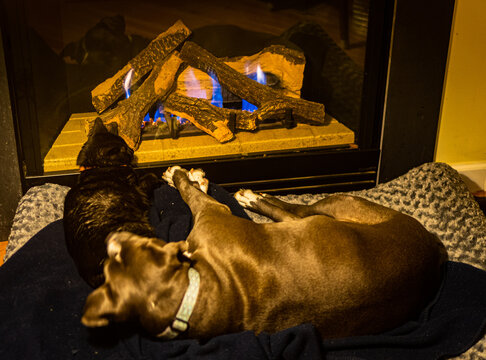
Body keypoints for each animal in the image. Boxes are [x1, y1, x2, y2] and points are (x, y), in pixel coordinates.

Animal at [63, 118, 159, 286]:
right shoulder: (138, 191)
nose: (132, 150)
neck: (97, 167)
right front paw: (157, 178)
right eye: (125, 149)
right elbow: (149, 178)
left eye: (127, 145)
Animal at [80, 167, 448, 338]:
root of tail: (433, 248)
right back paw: (254, 198)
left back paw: (254, 198)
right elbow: (197, 193)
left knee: (295, 211)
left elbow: (191, 192)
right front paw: (192, 178)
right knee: (294, 213)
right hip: (335, 209)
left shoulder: (212, 213)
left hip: (338, 205)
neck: (192, 294)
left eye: (140, 247)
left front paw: (182, 176)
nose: (113, 238)